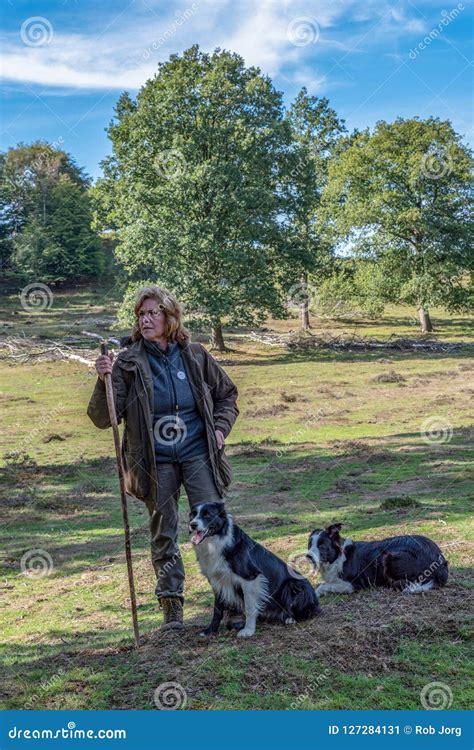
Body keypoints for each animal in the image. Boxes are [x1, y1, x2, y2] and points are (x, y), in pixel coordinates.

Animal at [189, 506, 322, 640]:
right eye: (192, 515)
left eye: (207, 515)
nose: (192, 525)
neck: (217, 540)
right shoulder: (218, 581)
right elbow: (217, 610)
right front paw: (210, 630)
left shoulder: (250, 578)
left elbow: (249, 607)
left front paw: (248, 630)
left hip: (294, 585)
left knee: (311, 611)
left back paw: (290, 618)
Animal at [308, 524, 448, 596]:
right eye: (309, 544)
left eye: (322, 545)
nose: (308, 556)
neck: (337, 558)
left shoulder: (353, 584)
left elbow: (323, 585)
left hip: (387, 557)